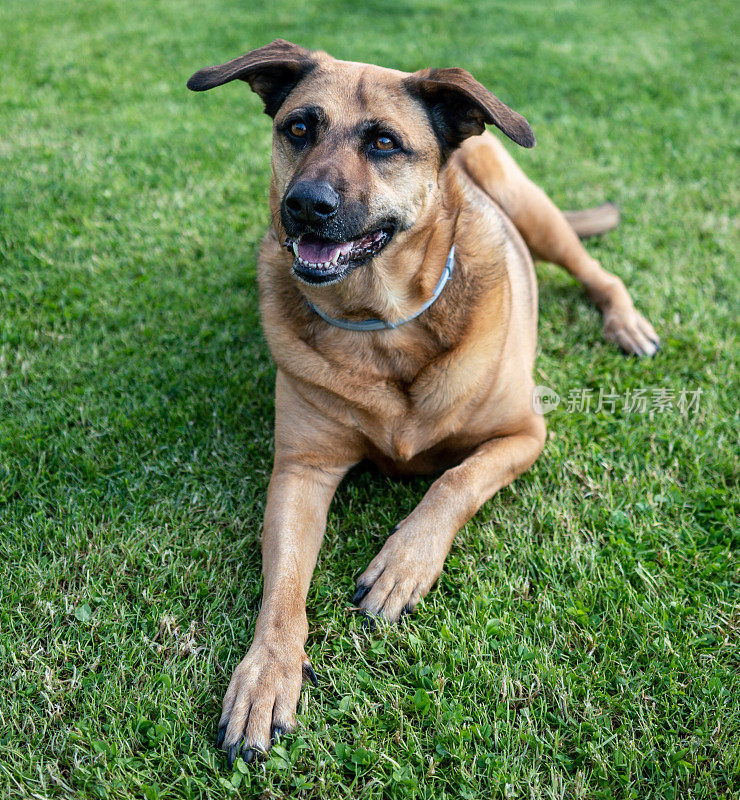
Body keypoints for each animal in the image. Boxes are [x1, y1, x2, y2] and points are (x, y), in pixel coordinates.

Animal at [186, 40, 660, 764]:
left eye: (384, 142)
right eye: (299, 127)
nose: (305, 205)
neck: (383, 324)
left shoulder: (525, 435)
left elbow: (455, 481)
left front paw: (402, 565)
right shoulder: (301, 469)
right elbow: (284, 586)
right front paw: (267, 673)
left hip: (533, 210)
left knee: (594, 270)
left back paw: (625, 321)